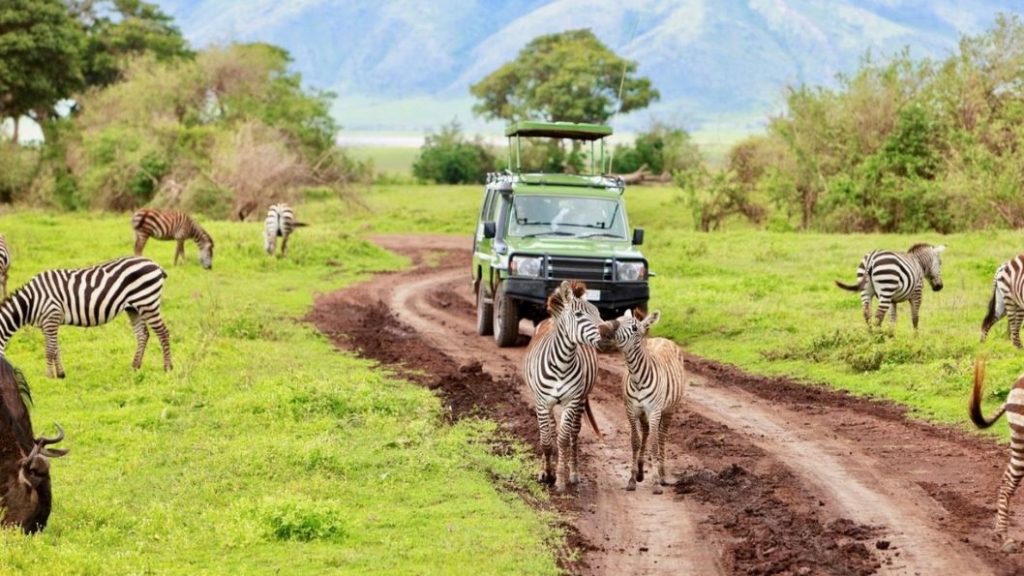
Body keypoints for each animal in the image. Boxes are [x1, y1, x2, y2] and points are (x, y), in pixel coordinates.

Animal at [0, 256, 172, 378]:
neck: (30, 301)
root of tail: (155, 264)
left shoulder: (51, 317)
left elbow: (49, 350)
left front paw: (48, 376)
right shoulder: (47, 323)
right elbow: (56, 348)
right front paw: (61, 374)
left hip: (147, 302)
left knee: (163, 332)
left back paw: (168, 368)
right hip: (134, 308)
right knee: (143, 334)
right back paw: (135, 367)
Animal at [523, 280, 603, 492]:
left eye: (598, 312)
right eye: (579, 315)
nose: (608, 332)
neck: (562, 363)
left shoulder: (571, 401)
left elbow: (563, 440)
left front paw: (559, 479)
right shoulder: (542, 402)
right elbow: (546, 440)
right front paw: (546, 473)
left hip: (581, 400)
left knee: (573, 435)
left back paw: (572, 473)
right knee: (550, 430)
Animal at [599, 309, 686, 494]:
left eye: (634, 328)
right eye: (617, 319)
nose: (603, 329)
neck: (637, 377)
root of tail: (663, 339)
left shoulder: (654, 411)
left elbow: (654, 443)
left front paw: (655, 483)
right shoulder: (631, 410)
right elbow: (635, 441)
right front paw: (632, 479)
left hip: (669, 409)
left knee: (661, 437)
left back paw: (662, 474)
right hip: (645, 414)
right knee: (646, 432)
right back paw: (641, 470)